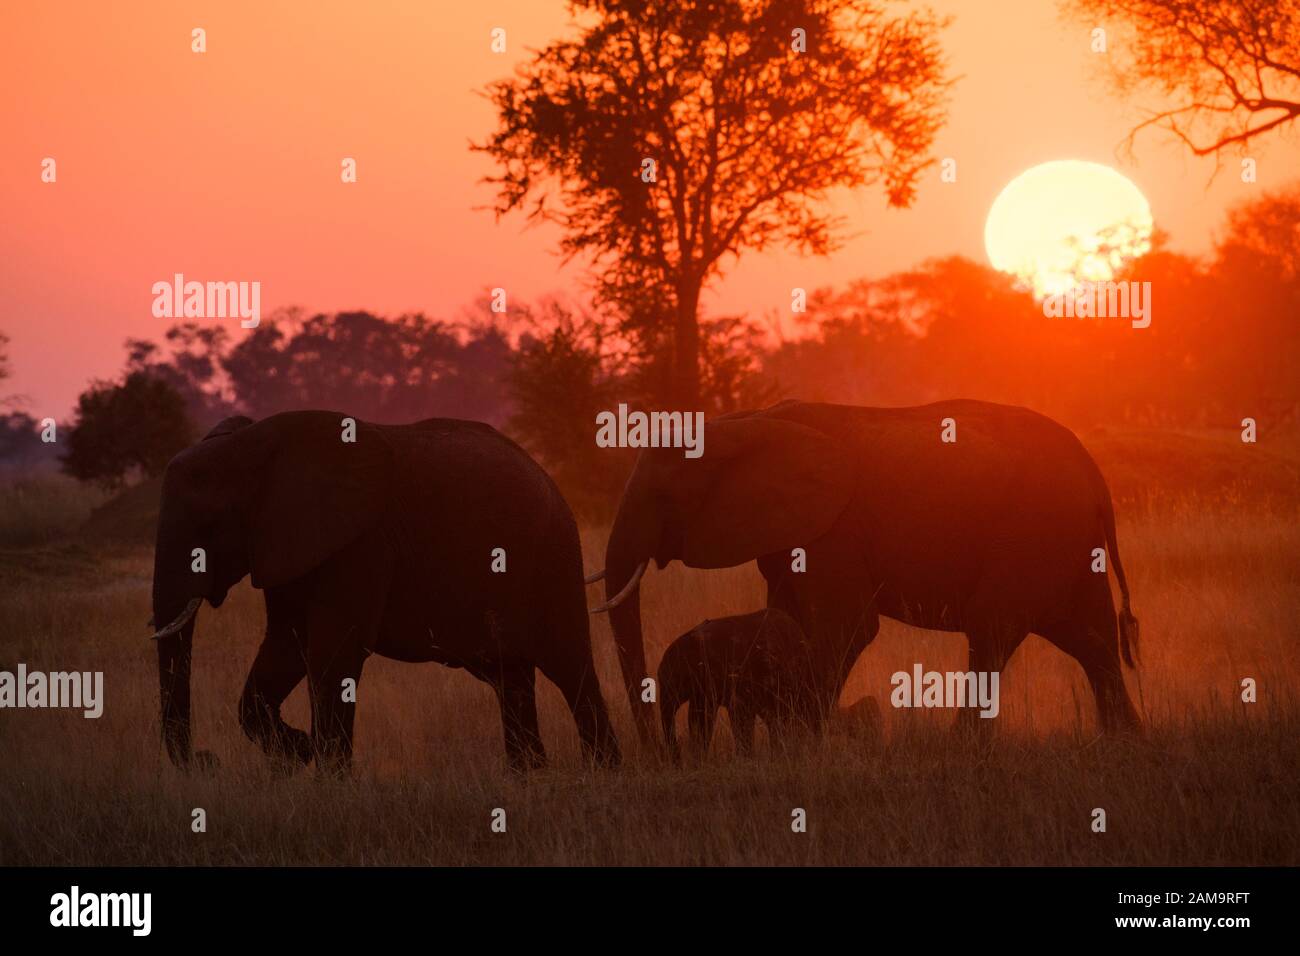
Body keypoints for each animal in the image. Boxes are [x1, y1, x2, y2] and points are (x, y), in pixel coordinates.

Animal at [152, 411, 618, 780]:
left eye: (211, 525)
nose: (206, 760)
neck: (257, 443)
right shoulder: (289, 546)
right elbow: (286, 644)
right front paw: (298, 753)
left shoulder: (361, 545)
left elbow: (333, 651)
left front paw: (328, 782)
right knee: (510, 676)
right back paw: (528, 777)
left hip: (553, 558)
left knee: (569, 666)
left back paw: (601, 774)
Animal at [595, 400, 1144, 743]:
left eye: (665, 497)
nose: (653, 748)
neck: (745, 422)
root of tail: (1097, 477)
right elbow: (785, 620)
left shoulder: (833, 529)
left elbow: (848, 627)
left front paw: (807, 738)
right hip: (1069, 548)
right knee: (1093, 640)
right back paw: (1124, 740)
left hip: (1030, 539)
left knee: (992, 632)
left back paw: (962, 746)